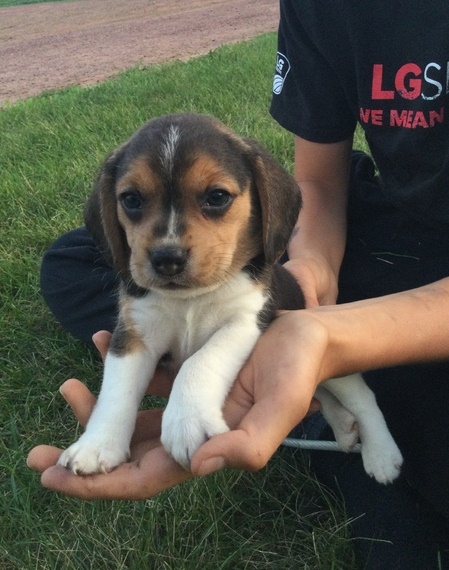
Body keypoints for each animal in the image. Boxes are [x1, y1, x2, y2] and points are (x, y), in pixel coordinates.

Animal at [57, 115, 400, 484]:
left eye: (217, 196)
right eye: (131, 199)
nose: (167, 258)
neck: (190, 299)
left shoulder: (246, 321)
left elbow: (200, 361)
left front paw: (188, 421)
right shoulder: (134, 335)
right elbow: (116, 390)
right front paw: (97, 445)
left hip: (335, 362)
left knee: (362, 397)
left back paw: (381, 454)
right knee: (320, 393)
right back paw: (343, 427)